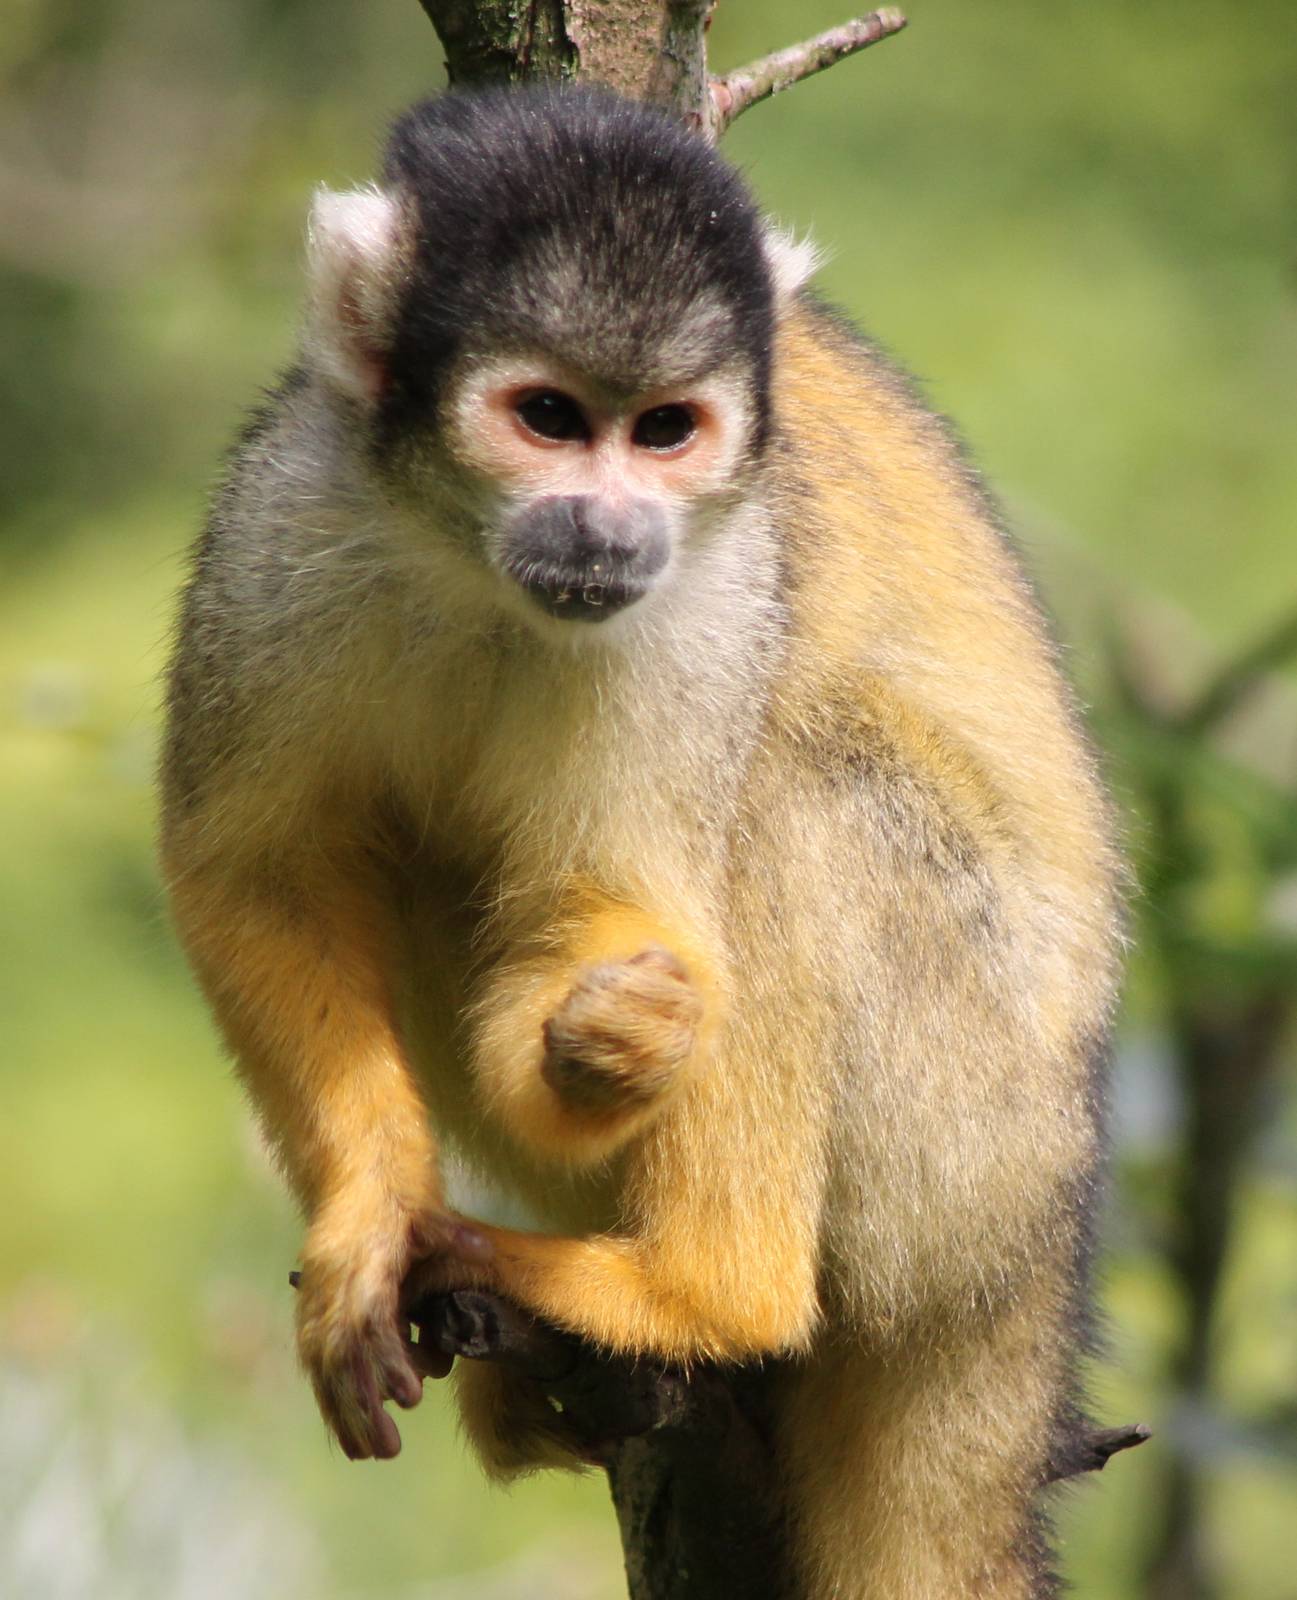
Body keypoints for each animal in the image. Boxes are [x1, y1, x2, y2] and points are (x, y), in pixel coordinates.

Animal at [160, 85, 1122, 1600]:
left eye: (666, 429)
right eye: (550, 418)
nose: (610, 526)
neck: (478, 566)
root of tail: (1045, 1235)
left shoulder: (711, 594)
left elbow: (613, 896)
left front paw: (613, 1035)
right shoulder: (287, 515)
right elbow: (255, 868)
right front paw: (368, 1222)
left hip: (969, 1135)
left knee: (791, 785)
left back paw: (698, 1294)